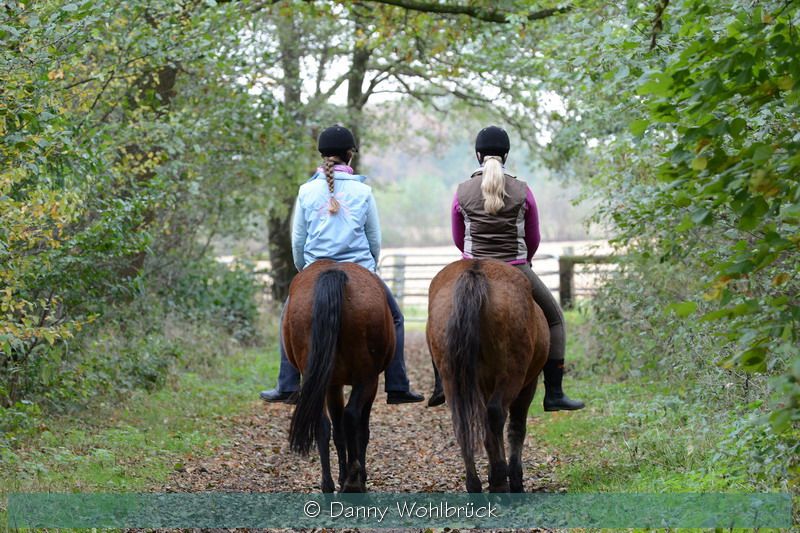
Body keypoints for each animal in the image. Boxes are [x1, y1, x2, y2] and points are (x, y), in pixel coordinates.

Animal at [284, 260, 395, 493]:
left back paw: (329, 486)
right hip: (367, 378)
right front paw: (354, 476)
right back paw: (354, 482)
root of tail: (333, 273)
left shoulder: (331, 384)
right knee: (352, 417)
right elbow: (360, 429)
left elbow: (336, 431)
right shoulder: (369, 384)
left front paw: (342, 477)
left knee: (322, 424)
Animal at [426, 258, 549, 493]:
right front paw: (515, 480)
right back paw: (500, 481)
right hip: (513, 375)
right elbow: (516, 428)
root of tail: (476, 270)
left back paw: (476, 485)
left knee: (462, 424)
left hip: (453, 378)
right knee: (496, 415)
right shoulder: (528, 385)